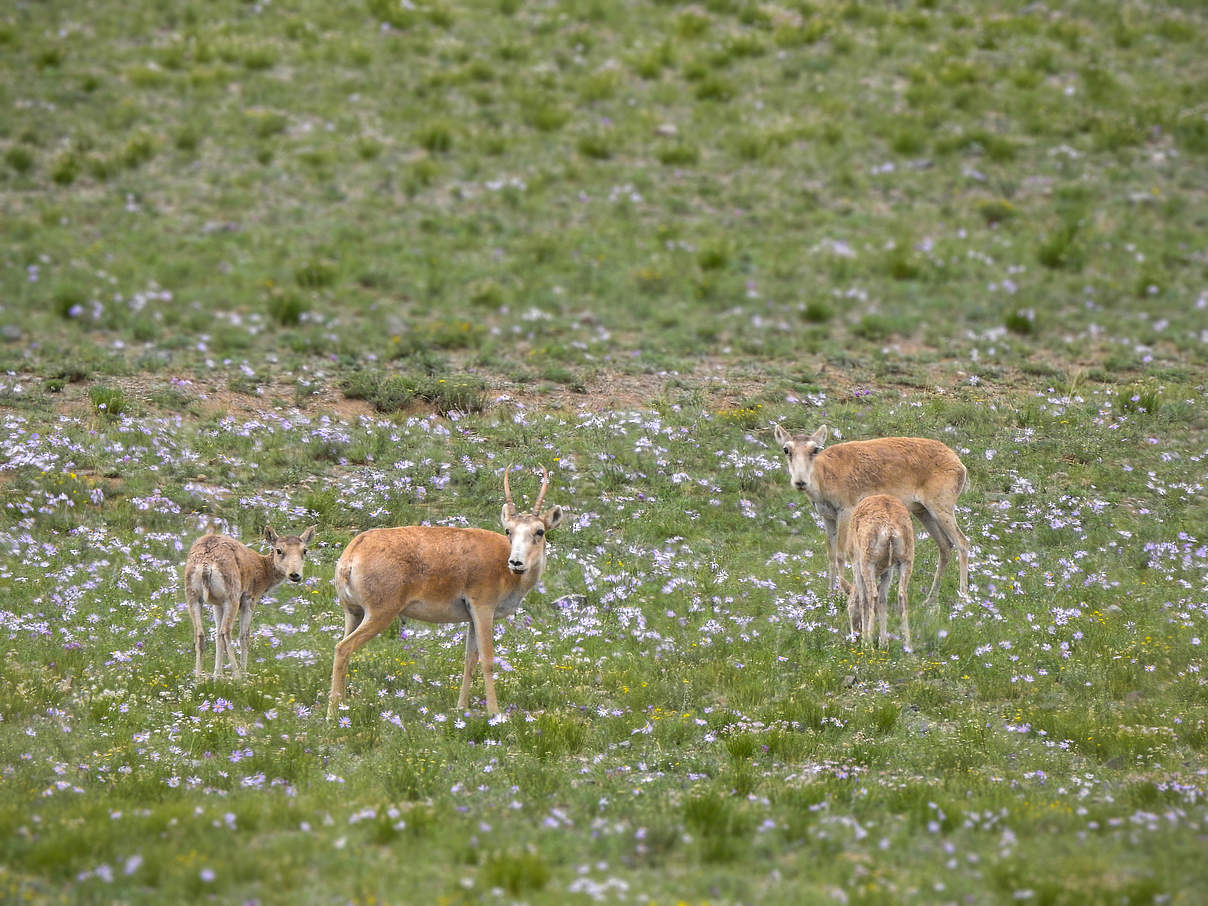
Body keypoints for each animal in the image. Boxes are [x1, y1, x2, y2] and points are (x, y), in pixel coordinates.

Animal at [182, 524, 316, 681]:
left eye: (305, 550)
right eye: (279, 550)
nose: (295, 574)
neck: (264, 573)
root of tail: (206, 564)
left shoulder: (217, 603)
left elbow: (216, 637)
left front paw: (216, 677)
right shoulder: (249, 597)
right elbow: (244, 635)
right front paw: (243, 674)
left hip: (192, 595)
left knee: (201, 634)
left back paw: (197, 680)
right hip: (232, 595)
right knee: (226, 632)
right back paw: (238, 677)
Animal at [326, 468, 560, 715]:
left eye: (539, 531)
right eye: (509, 530)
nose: (516, 562)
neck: (502, 562)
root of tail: (353, 551)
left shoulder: (471, 618)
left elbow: (470, 660)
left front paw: (461, 707)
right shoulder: (483, 609)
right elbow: (487, 659)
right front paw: (495, 713)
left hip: (353, 613)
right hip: (379, 614)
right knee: (342, 648)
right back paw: (332, 714)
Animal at [773, 425, 971, 604]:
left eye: (815, 449)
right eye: (786, 449)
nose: (800, 482)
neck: (824, 476)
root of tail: (959, 463)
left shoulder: (846, 511)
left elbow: (841, 554)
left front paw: (840, 596)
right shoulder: (827, 516)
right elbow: (830, 554)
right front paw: (829, 596)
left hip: (940, 508)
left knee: (962, 542)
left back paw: (963, 598)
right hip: (923, 511)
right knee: (945, 546)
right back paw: (930, 600)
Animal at [840, 492, 913, 647]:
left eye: (849, 607)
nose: (854, 635)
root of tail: (890, 530)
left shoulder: (855, 562)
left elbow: (863, 599)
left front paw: (868, 639)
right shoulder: (888, 570)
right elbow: (883, 599)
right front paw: (883, 643)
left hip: (868, 561)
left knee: (872, 595)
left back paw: (868, 644)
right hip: (907, 558)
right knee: (902, 595)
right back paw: (908, 646)